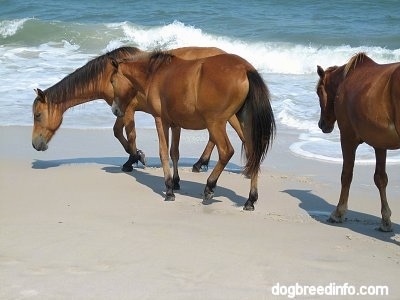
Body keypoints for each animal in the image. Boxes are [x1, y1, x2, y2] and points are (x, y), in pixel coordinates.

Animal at [32, 47, 241, 173]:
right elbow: (117, 132)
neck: (108, 75)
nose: (35, 144)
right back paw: (201, 163)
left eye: (38, 115)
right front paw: (135, 156)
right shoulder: (120, 108)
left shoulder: (128, 109)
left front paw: (134, 158)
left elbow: (129, 134)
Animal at [109, 51, 276, 211]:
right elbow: (174, 153)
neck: (155, 74)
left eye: (112, 81)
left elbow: (163, 153)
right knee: (253, 154)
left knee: (226, 151)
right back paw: (250, 200)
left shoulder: (160, 120)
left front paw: (169, 190)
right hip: (244, 123)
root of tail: (246, 69)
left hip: (216, 124)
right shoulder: (175, 125)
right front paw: (175, 182)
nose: (115, 110)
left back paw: (209, 186)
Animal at [316, 52, 400, 232]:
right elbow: (380, 179)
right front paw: (385, 221)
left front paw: (338, 213)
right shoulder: (379, 143)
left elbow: (346, 175)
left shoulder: (347, 138)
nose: (322, 124)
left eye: (319, 91)